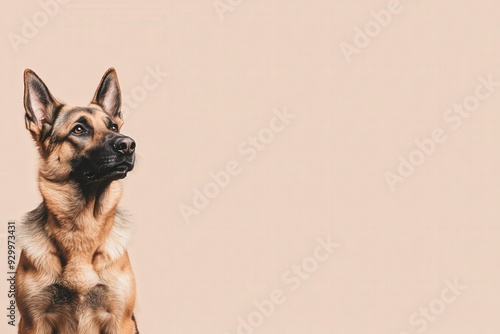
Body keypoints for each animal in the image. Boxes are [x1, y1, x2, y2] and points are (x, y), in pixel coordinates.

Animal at [15, 69, 139, 332]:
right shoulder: (34, 322)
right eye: (79, 130)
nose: (128, 144)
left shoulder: (120, 320)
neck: (83, 227)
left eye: (113, 126)